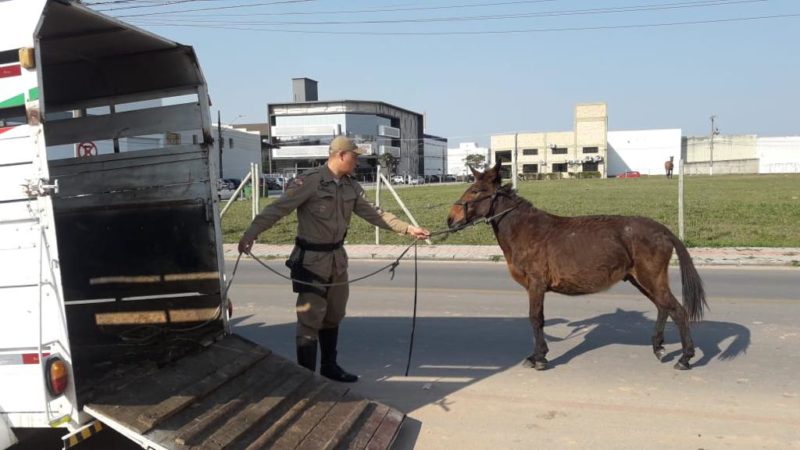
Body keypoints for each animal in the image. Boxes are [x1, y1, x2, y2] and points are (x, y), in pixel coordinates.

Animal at [446, 163, 708, 370]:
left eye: (476, 191)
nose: (450, 220)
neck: (526, 229)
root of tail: (662, 230)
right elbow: (538, 318)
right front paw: (538, 355)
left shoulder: (536, 284)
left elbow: (535, 318)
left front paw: (539, 358)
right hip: (641, 280)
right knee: (663, 307)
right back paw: (658, 346)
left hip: (649, 277)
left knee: (677, 311)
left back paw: (685, 358)